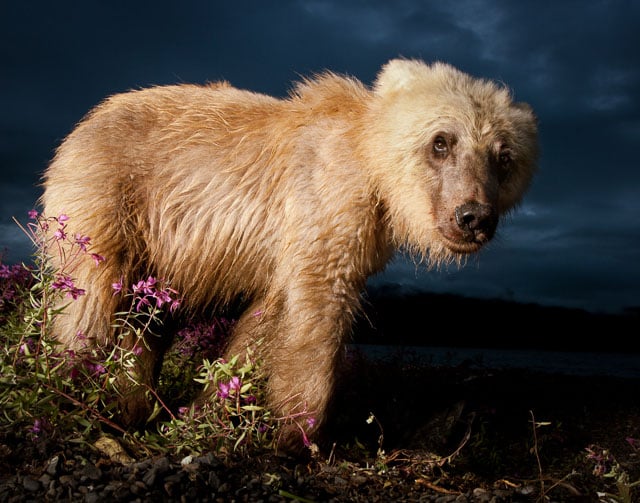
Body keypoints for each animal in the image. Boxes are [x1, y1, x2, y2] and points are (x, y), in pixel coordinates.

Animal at [42, 59, 536, 452]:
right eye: (442, 141)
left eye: (503, 156)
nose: (473, 216)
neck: (375, 174)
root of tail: (90, 117)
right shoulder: (325, 200)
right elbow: (317, 315)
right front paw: (298, 434)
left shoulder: (314, 242)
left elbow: (266, 322)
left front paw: (212, 409)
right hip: (111, 190)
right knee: (90, 295)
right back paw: (70, 385)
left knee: (150, 317)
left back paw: (130, 401)